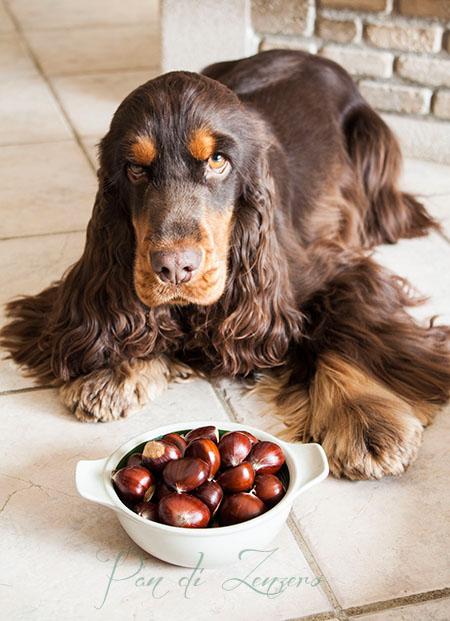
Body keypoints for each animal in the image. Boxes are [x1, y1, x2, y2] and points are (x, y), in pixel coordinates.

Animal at [1, 52, 448, 480]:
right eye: (135, 168)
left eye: (218, 161)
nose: (174, 268)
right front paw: (112, 372)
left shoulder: (334, 266)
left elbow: (346, 326)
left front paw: (363, 420)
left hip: (371, 145)